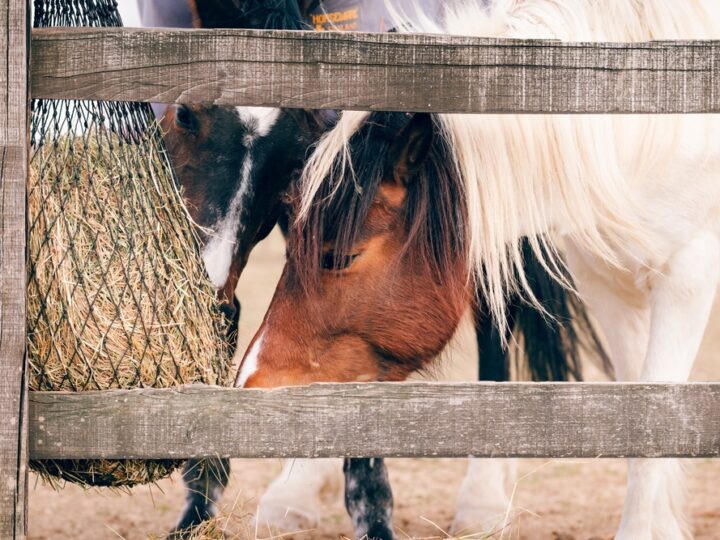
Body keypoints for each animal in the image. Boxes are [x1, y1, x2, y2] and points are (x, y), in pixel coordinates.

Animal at [240, 2, 720, 536]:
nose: (251, 386)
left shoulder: (686, 282)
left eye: (338, 257)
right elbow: (642, 414)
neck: (644, 126)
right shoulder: (607, 284)